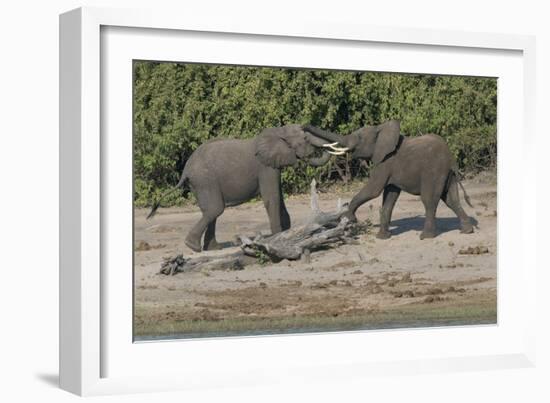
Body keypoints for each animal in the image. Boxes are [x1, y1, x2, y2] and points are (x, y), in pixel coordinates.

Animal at [147, 124, 336, 252]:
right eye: (305, 140)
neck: (278, 132)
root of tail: (185, 169)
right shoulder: (265, 167)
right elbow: (272, 197)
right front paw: (276, 237)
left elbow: (279, 197)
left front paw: (286, 233)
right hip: (205, 180)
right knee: (215, 209)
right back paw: (193, 247)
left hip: (200, 184)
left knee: (211, 211)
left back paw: (212, 248)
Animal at [302, 120, 474, 240]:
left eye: (359, 137)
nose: (303, 126)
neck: (380, 129)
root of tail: (451, 159)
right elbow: (389, 197)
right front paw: (382, 237)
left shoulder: (385, 162)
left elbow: (373, 190)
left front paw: (349, 218)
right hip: (448, 175)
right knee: (451, 200)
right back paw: (467, 231)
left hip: (433, 171)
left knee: (429, 200)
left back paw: (426, 236)